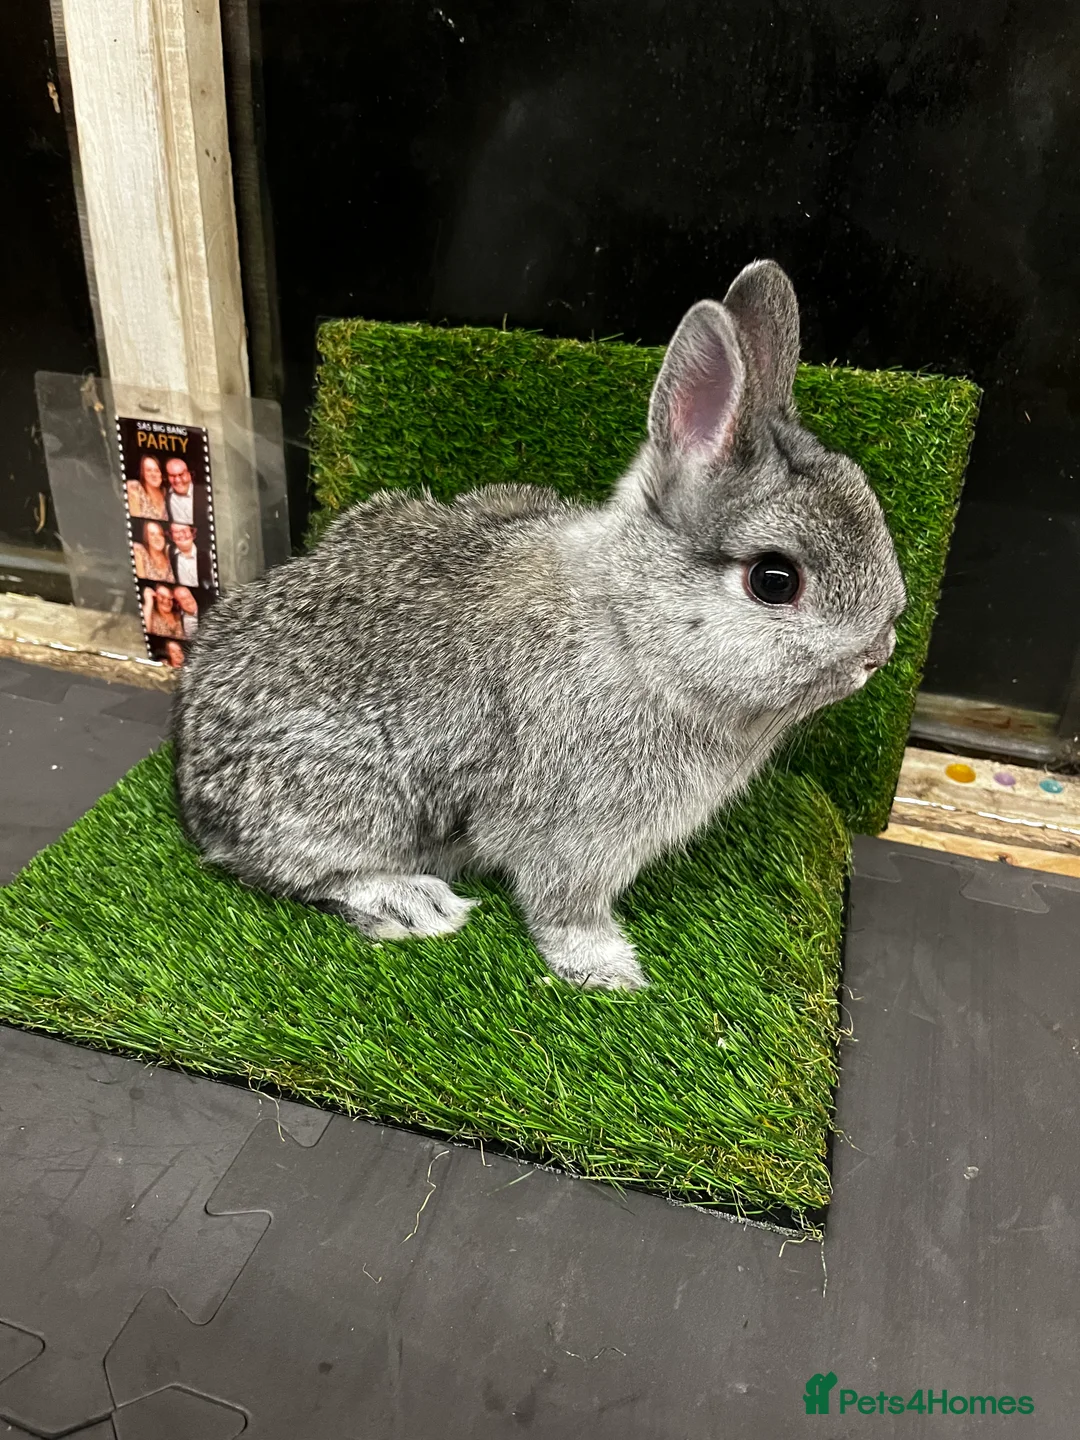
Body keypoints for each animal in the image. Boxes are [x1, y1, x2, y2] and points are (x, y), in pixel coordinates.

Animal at [173, 260, 906, 992]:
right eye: (774, 580)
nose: (879, 652)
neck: (630, 628)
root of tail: (193, 788)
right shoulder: (575, 835)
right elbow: (564, 907)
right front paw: (611, 972)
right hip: (352, 802)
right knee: (293, 870)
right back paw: (414, 903)